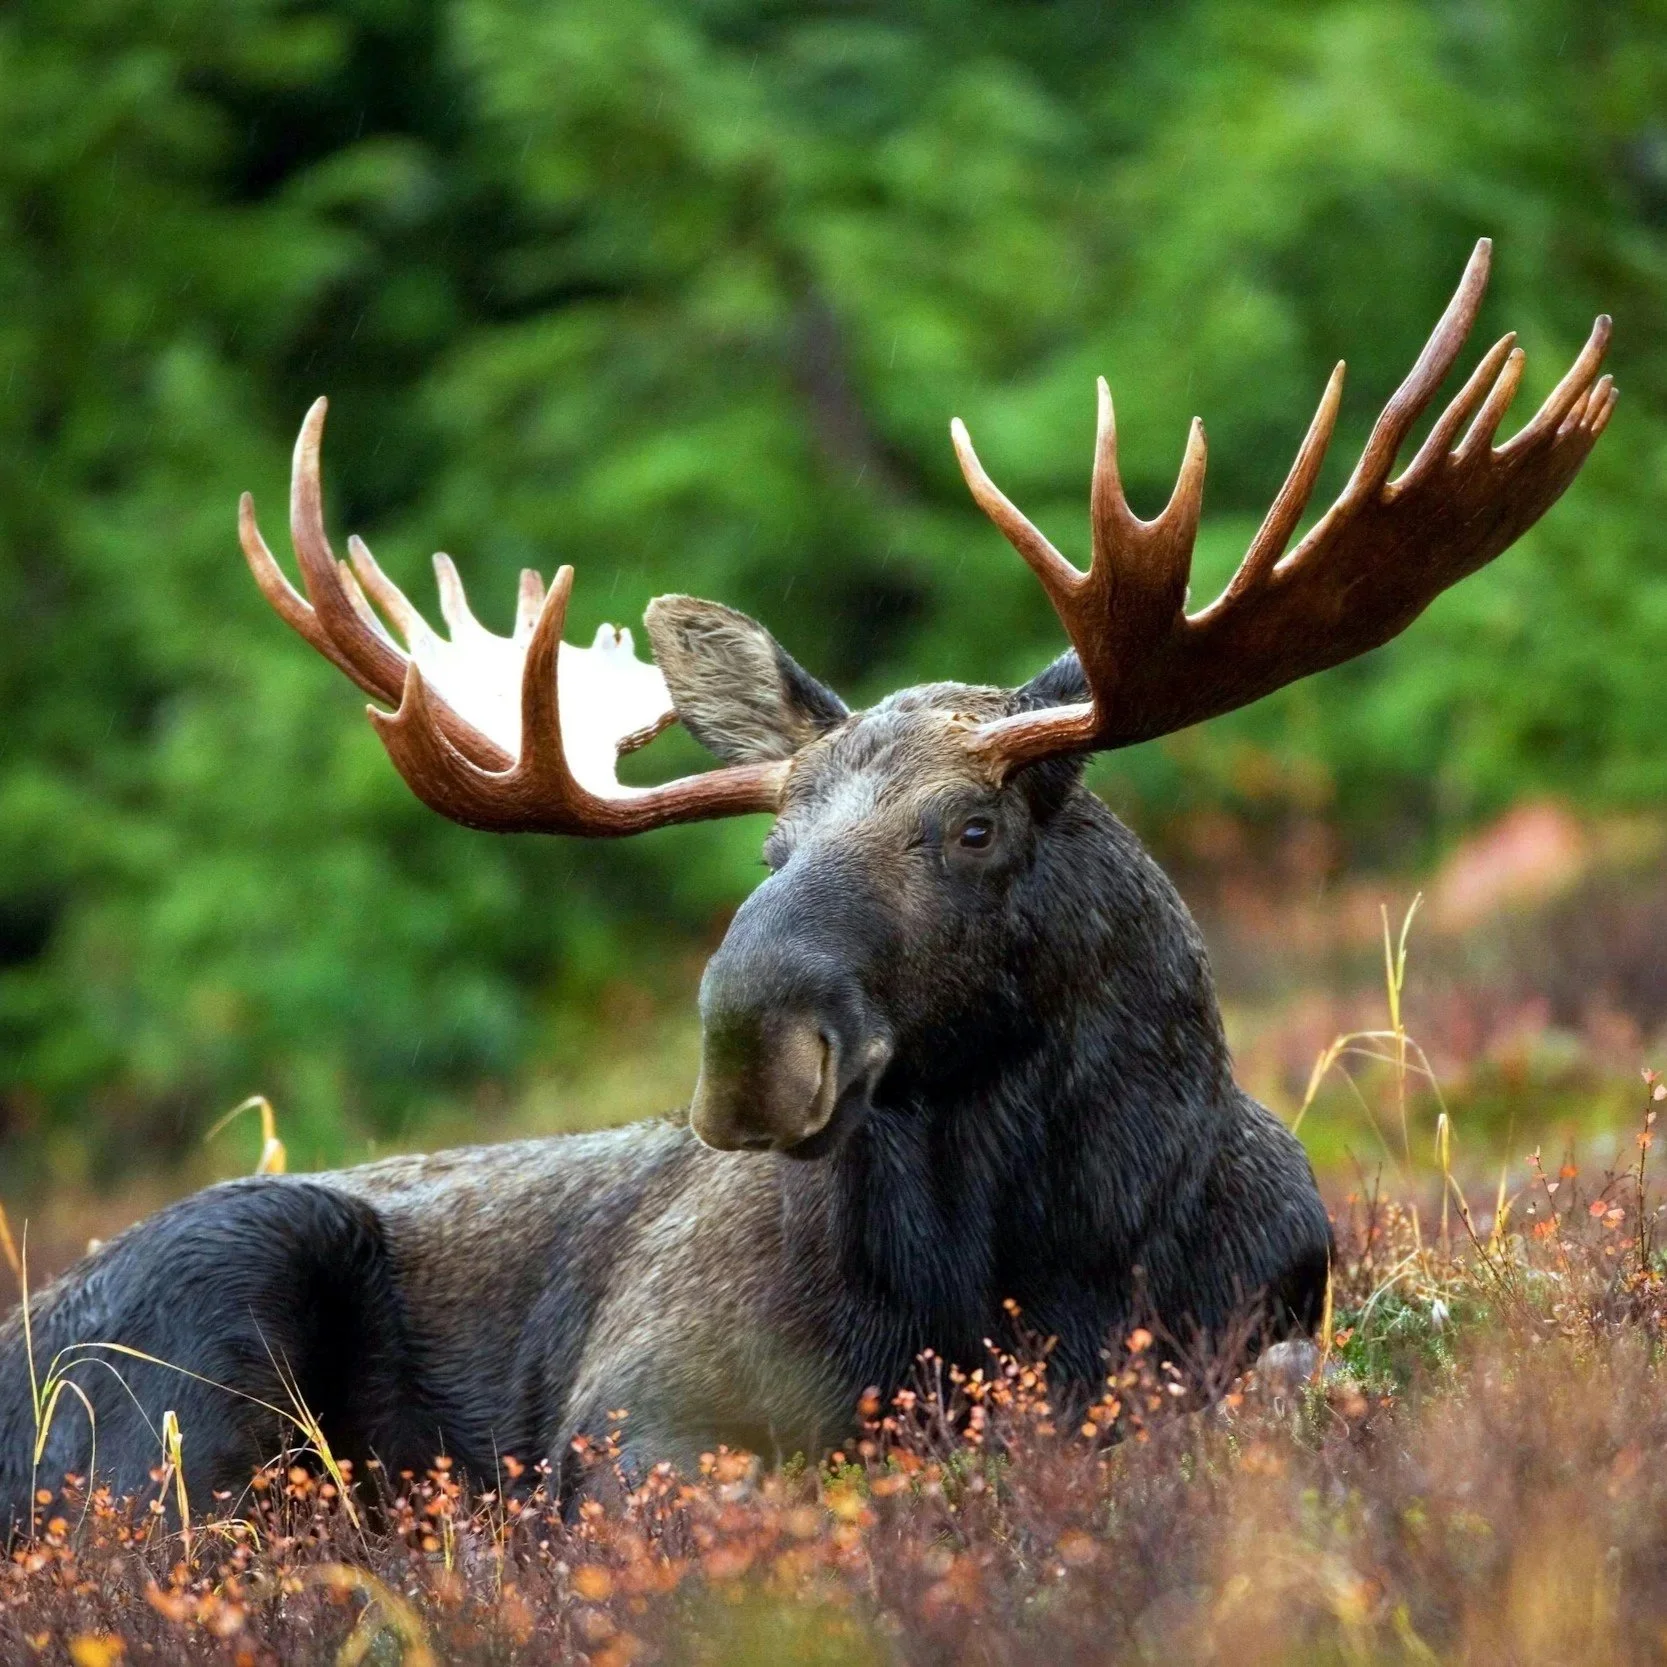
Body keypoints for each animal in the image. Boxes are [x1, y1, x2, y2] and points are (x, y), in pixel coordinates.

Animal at [1, 240, 1615, 1532]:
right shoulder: (635, 1412)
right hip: (202, 1313)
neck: (1034, 1260)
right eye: (769, 850)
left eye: (973, 827)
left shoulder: (1260, 1317)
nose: (747, 1042)